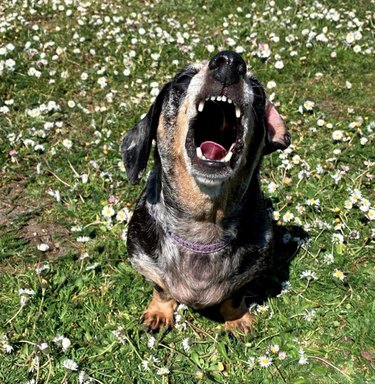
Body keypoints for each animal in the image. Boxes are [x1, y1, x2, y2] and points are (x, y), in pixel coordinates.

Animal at [122, 51, 292, 332]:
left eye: (258, 91)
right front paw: (159, 312)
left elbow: (235, 295)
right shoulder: (144, 261)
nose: (230, 61)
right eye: (183, 78)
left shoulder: (251, 272)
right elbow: (162, 289)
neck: (203, 226)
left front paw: (237, 319)